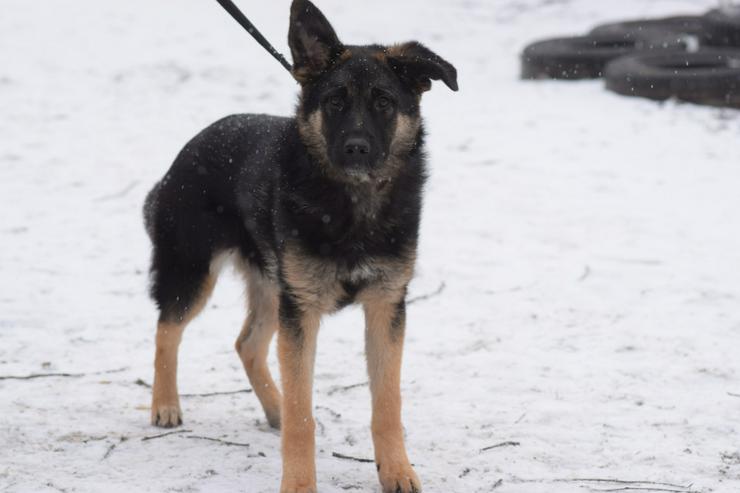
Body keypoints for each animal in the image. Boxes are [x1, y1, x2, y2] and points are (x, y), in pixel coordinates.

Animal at [143, 1, 456, 490]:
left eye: (384, 102)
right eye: (335, 101)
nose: (356, 148)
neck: (352, 203)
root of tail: (191, 146)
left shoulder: (385, 305)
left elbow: (387, 404)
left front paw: (397, 471)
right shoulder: (303, 311)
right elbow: (302, 413)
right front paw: (299, 482)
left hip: (275, 287)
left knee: (247, 344)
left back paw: (272, 408)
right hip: (195, 269)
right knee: (167, 329)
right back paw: (165, 404)